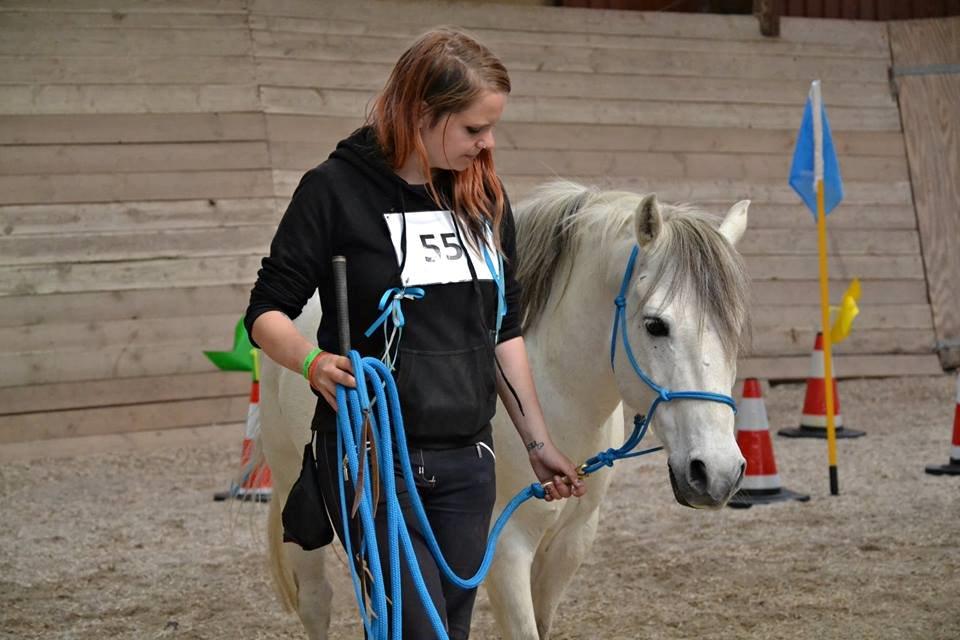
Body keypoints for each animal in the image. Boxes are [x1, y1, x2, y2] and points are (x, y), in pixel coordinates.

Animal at [255, 181, 752, 640]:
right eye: (655, 325)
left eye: (734, 328)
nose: (718, 473)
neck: (550, 396)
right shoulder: (505, 549)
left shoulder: (570, 542)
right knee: (319, 602)